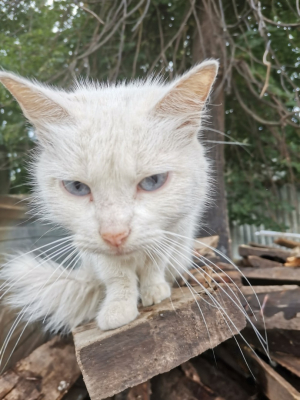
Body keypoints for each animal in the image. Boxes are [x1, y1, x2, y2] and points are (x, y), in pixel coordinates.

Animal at [0, 59, 218, 332]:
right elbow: (118, 277)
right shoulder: (95, 250)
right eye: (77, 187)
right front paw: (118, 310)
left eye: (153, 181)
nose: (114, 235)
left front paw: (154, 291)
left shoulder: (172, 228)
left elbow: (154, 263)